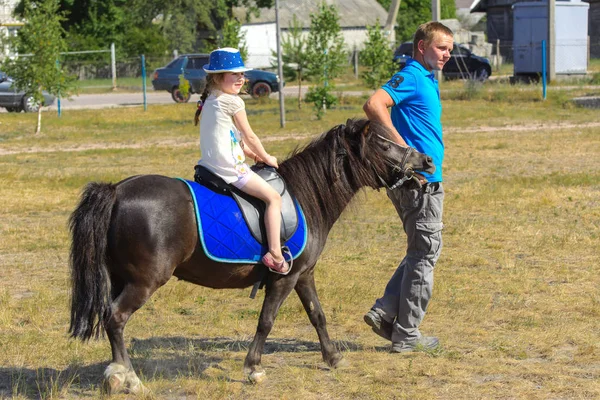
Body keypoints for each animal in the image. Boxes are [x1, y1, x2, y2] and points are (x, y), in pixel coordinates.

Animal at [70, 117, 434, 392]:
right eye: (384, 145)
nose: (427, 160)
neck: (306, 196)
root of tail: (117, 190)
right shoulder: (285, 278)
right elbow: (266, 320)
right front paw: (253, 368)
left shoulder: (304, 275)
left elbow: (317, 315)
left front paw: (333, 358)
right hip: (144, 282)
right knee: (116, 317)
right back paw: (128, 377)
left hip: (122, 278)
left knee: (111, 320)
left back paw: (116, 372)